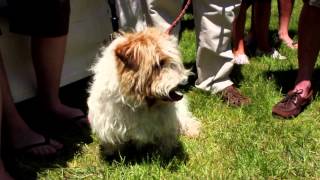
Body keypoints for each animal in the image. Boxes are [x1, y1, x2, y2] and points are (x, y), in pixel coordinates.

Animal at [87, 27, 200, 155]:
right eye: (158, 64)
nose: (182, 82)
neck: (140, 103)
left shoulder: (167, 123)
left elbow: (166, 138)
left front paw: (165, 151)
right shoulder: (109, 123)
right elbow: (113, 143)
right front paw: (112, 153)